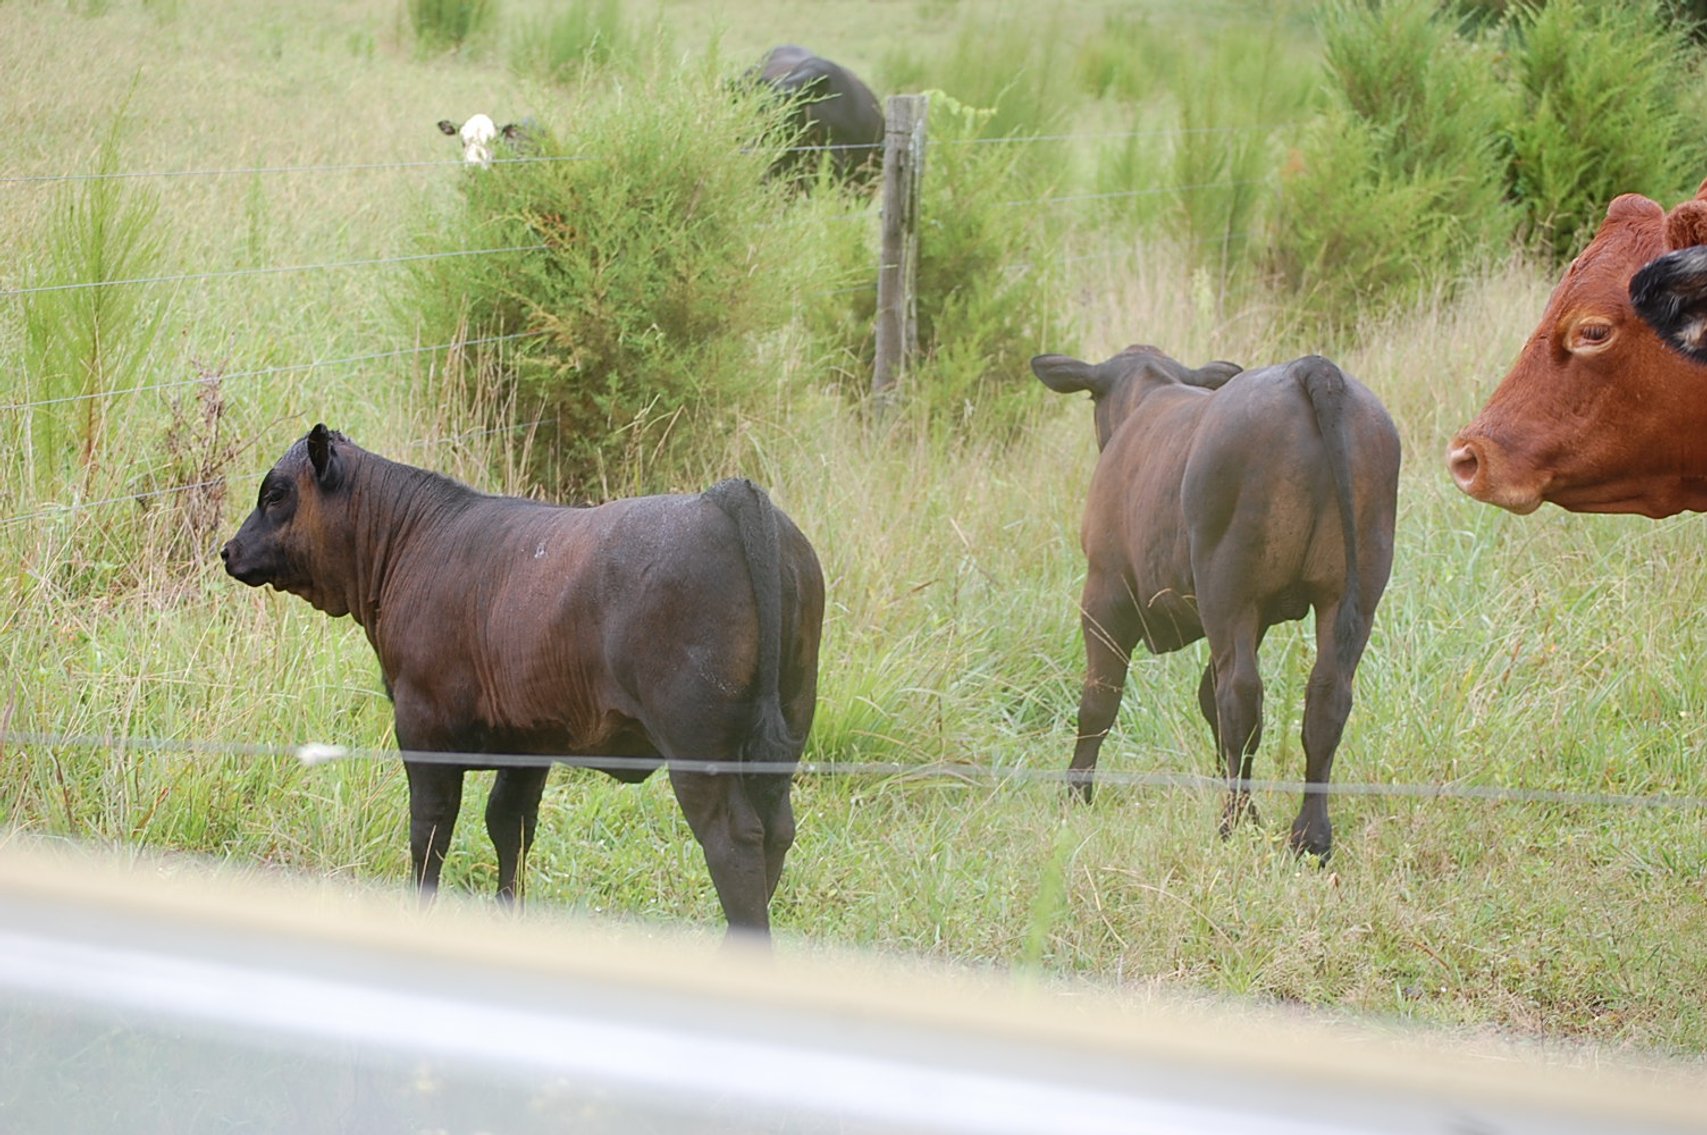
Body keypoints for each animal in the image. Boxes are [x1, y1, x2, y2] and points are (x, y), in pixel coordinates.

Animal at [221, 425, 825, 938]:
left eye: (275, 494)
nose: (228, 550)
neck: (413, 543)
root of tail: (722, 498)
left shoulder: (422, 727)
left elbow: (430, 831)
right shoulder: (528, 742)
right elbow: (509, 826)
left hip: (699, 749)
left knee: (735, 839)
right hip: (783, 735)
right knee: (777, 831)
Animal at [1033, 346, 1400, 858]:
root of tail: (1312, 367)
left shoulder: (1105, 593)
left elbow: (1099, 701)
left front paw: (1075, 794)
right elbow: (1205, 696)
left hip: (1229, 590)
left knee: (1241, 696)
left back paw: (1236, 821)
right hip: (1353, 591)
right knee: (1326, 697)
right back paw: (1309, 835)